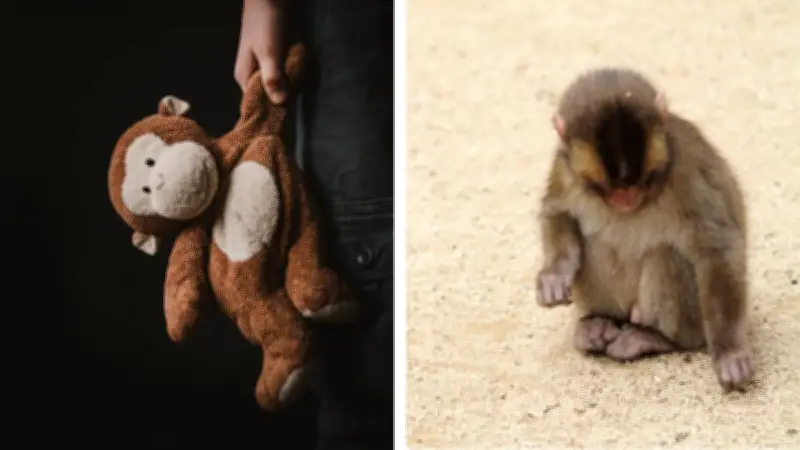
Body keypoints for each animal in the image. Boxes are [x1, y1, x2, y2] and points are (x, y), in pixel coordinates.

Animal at [535, 68, 753, 392]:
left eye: (643, 179)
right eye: (607, 187)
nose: (627, 197)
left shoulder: (688, 170)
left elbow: (718, 247)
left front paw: (729, 351)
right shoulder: (564, 166)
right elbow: (558, 212)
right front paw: (555, 273)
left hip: (690, 321)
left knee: (665, 255)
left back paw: (656, 339)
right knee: (594, 243)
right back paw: (599, 322)